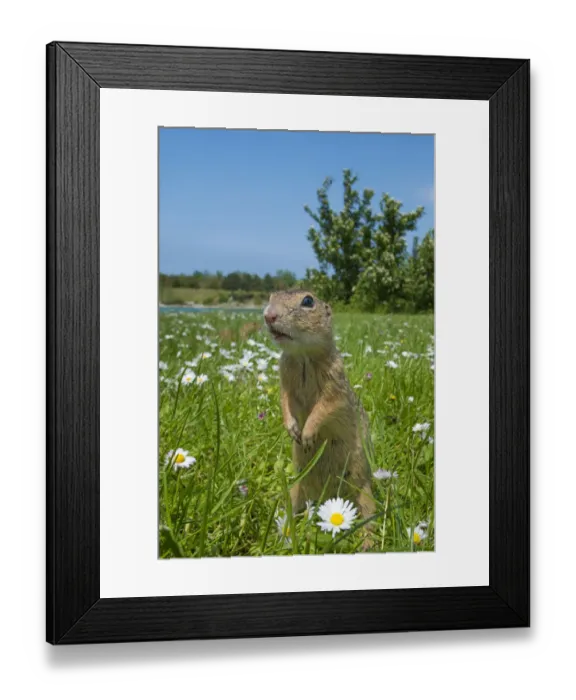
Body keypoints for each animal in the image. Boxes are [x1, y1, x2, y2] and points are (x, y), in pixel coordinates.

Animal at [263, 290, 376, 531]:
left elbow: (326, 407)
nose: (269, 316)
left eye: (308, 301)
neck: (303, 355)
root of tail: (326, 497)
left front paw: (307, 434)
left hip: (363, 488)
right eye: (271, 296)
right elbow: (285, 402)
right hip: (295, 490)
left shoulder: (335, 382)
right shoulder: (285, 379)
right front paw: (292, 428)